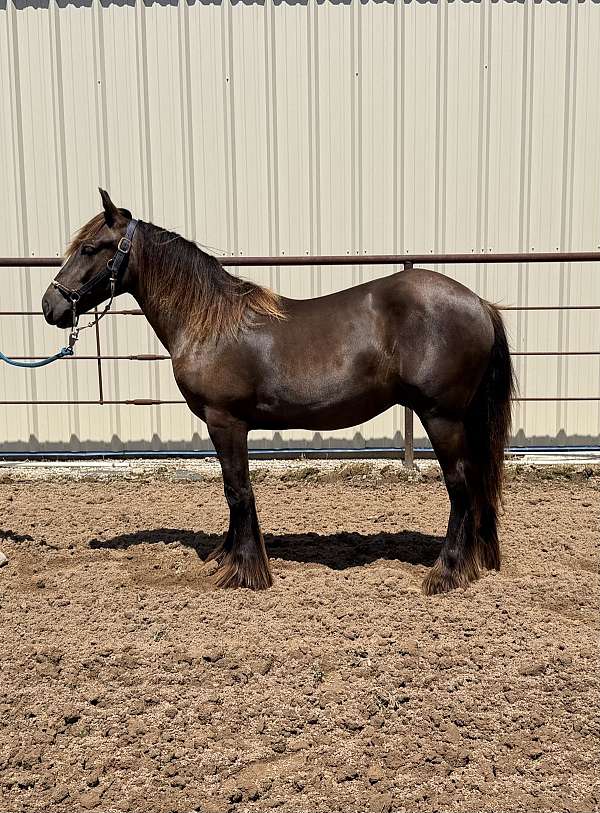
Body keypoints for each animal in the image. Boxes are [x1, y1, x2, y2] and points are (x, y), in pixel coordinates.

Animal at [42, 189, 515, 595]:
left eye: (90, 248)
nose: (51, 305)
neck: (210, 323)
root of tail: (479, 304)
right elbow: (237, 490)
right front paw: (228, 556)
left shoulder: (225, 420)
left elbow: (237, 489)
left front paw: (245, 571)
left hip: (441, 416)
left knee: (461, 485)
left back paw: (447, 572)